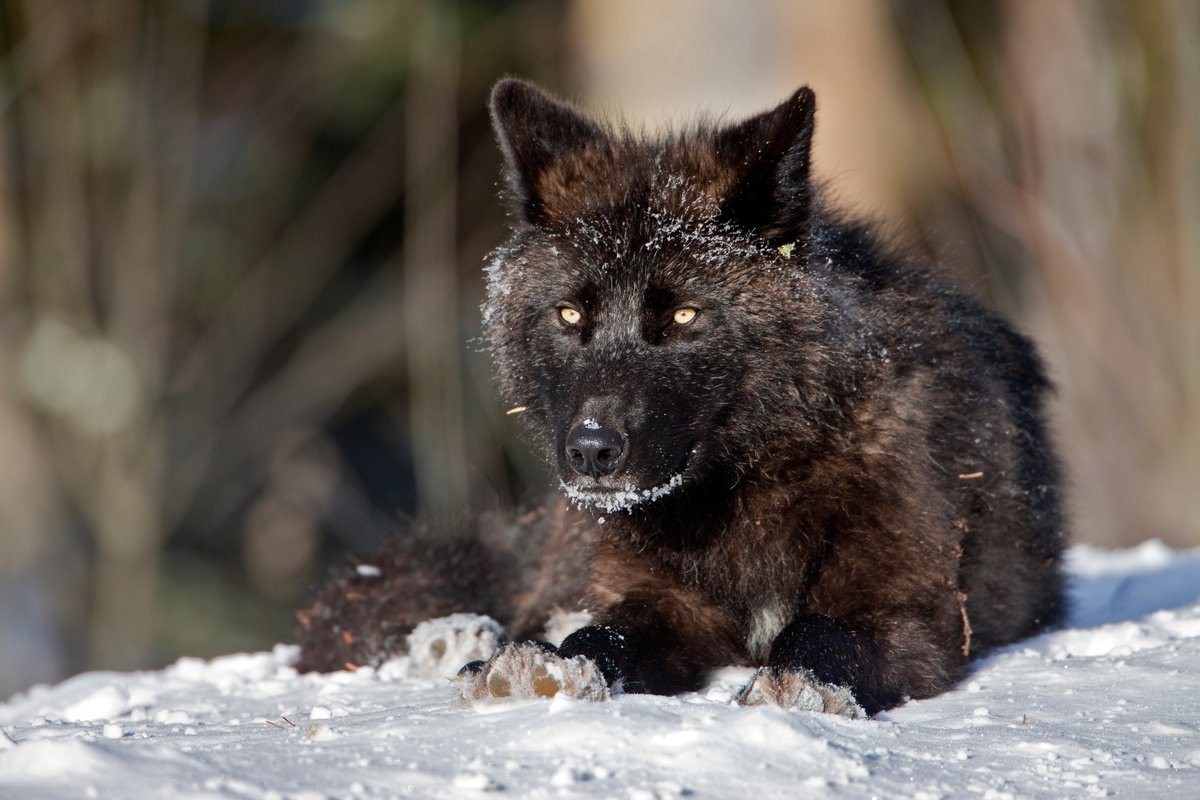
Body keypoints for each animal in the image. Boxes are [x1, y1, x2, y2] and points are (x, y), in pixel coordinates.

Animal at [295, 79, 1066, 716]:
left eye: (685, 317)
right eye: (569, 316)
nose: (591, 451)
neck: (748, 487)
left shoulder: (907, 610)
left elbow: (820, 633)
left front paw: (797, 685)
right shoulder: (659, 604)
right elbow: (599, 636)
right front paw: (548, 668)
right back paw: (459, 637)